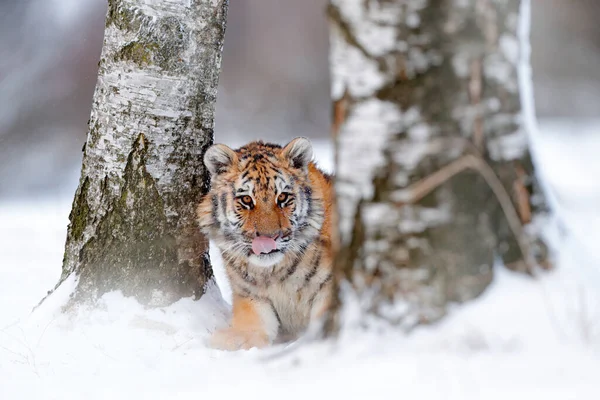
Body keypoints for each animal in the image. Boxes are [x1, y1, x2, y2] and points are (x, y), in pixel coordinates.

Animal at [198, 138, 336, 350]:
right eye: (246, 199)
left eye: (282, 197)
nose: (267, 239)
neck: (275, 274)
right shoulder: (250, 295)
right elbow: (252, 325)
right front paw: (235, 339)